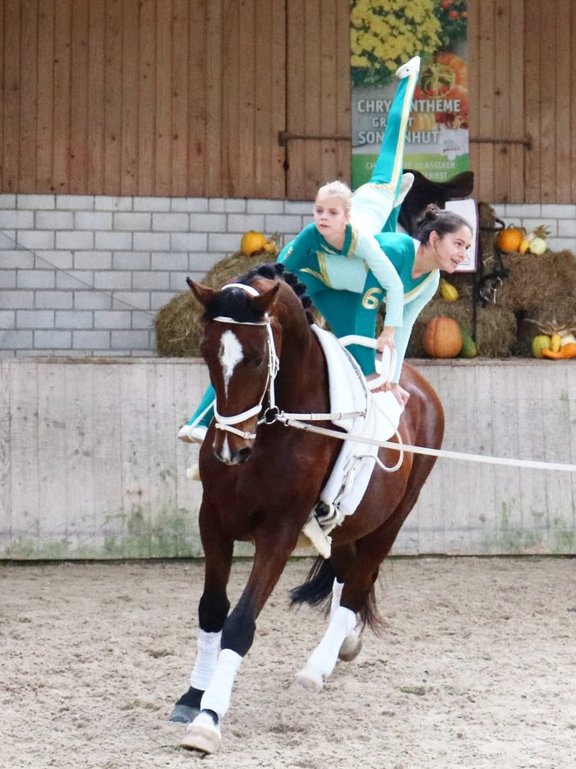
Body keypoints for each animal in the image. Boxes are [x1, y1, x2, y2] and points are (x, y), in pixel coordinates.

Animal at [171, 262, 446, 752]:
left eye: (257, 359)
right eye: (206, 354)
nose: (229, 451)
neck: (275, 427)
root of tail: (416, 383)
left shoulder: (278, 534)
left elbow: (240, 623)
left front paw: (209, 719)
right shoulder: (214, 522)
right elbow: (211, 610)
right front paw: (192, 696)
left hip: (389, 524)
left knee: (356, 587)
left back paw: (317, 668)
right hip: (346, 527)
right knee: (347, 575)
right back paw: (344, 646)